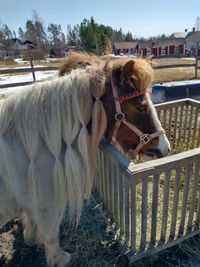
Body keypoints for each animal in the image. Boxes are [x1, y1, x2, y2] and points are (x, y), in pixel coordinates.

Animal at [0, 52, 170, 267]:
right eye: (141, 106)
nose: (165, 147)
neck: (37, 145)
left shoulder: (31, 200)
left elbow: (30, 220)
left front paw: (31, 239)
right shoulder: (47, 203)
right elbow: (51, 234)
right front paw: (59, 259)